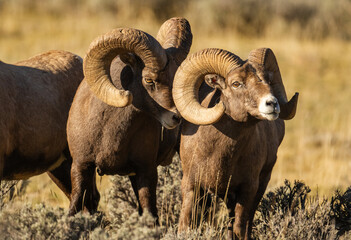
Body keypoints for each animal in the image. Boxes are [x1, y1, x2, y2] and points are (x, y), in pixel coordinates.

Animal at [173, 47, 300, 239]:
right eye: (236, 83)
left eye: (268, 80)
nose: (272, 104)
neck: (219, 154)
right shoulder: (191, 185)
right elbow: (185, 225)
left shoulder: (247, 190)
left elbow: (240, 229)